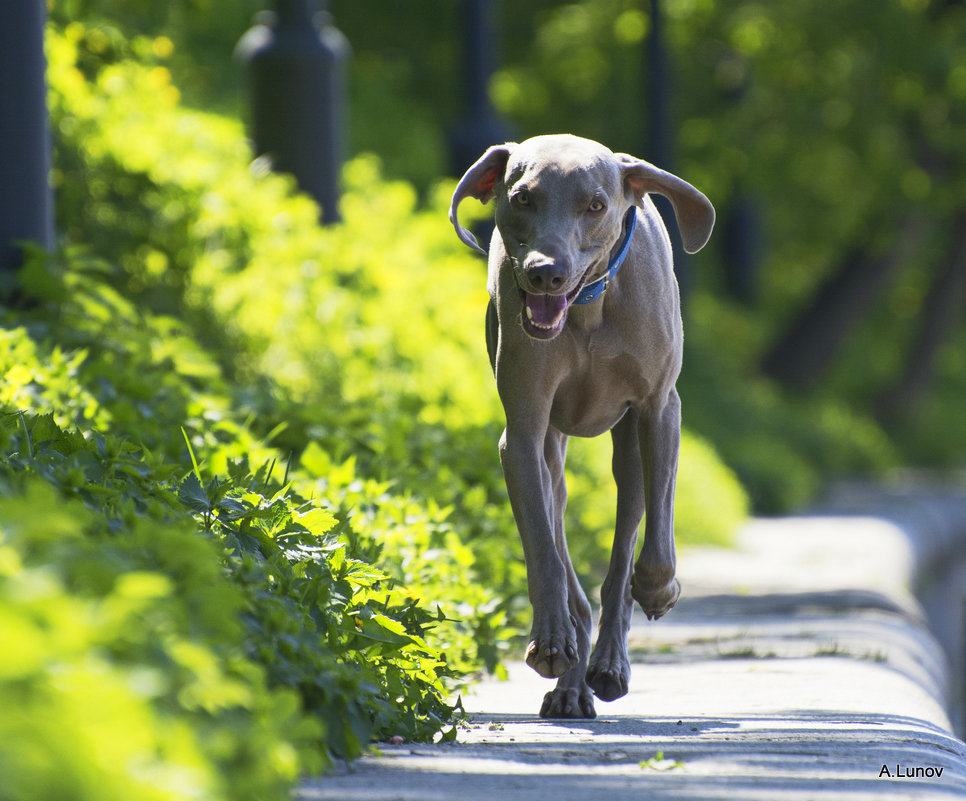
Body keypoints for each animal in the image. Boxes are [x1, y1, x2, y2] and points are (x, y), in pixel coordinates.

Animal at [450, 134, 716, 716]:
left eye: (595, 205)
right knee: (563, 538)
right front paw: (551, 641)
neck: (590, 308)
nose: (545, 272)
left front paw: (659, 590)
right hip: (553, 450)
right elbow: (544, 549)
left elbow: (654, 546)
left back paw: (610, 662)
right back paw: (571, 679)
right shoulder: (523, 433)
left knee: (624, 547)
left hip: (629, 449)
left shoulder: (660, 408)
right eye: (522, 198)